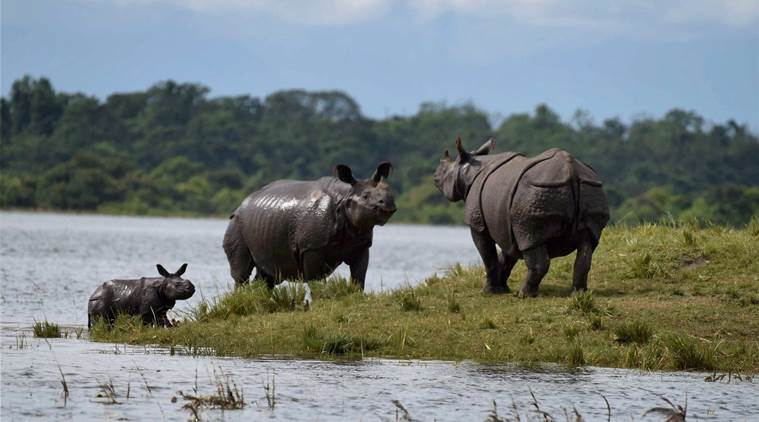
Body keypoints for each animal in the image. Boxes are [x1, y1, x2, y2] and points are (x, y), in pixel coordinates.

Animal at [221, 162, 394, 290]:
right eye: (365, 196)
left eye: (388, 191)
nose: (388, 203)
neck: (345, 197)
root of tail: (242, 203)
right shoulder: (311, 247)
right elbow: (315, 280)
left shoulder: (361, 244)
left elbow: (359, 276)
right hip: (236, 223)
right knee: (241, 273)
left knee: (268, 275)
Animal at [434, 138, 612, 296]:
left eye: (444, 172)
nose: (435, 176)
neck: (470, 170)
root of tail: (572, 172)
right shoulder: (508, 226)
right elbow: (507, 255)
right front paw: (502, 289)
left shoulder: (477, 223)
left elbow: (488, 255)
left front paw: (489, 292)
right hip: (591, 188)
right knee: (587, 244)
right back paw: (578, 294)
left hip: (536, 193)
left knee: (531, 238)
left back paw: (524, 294)